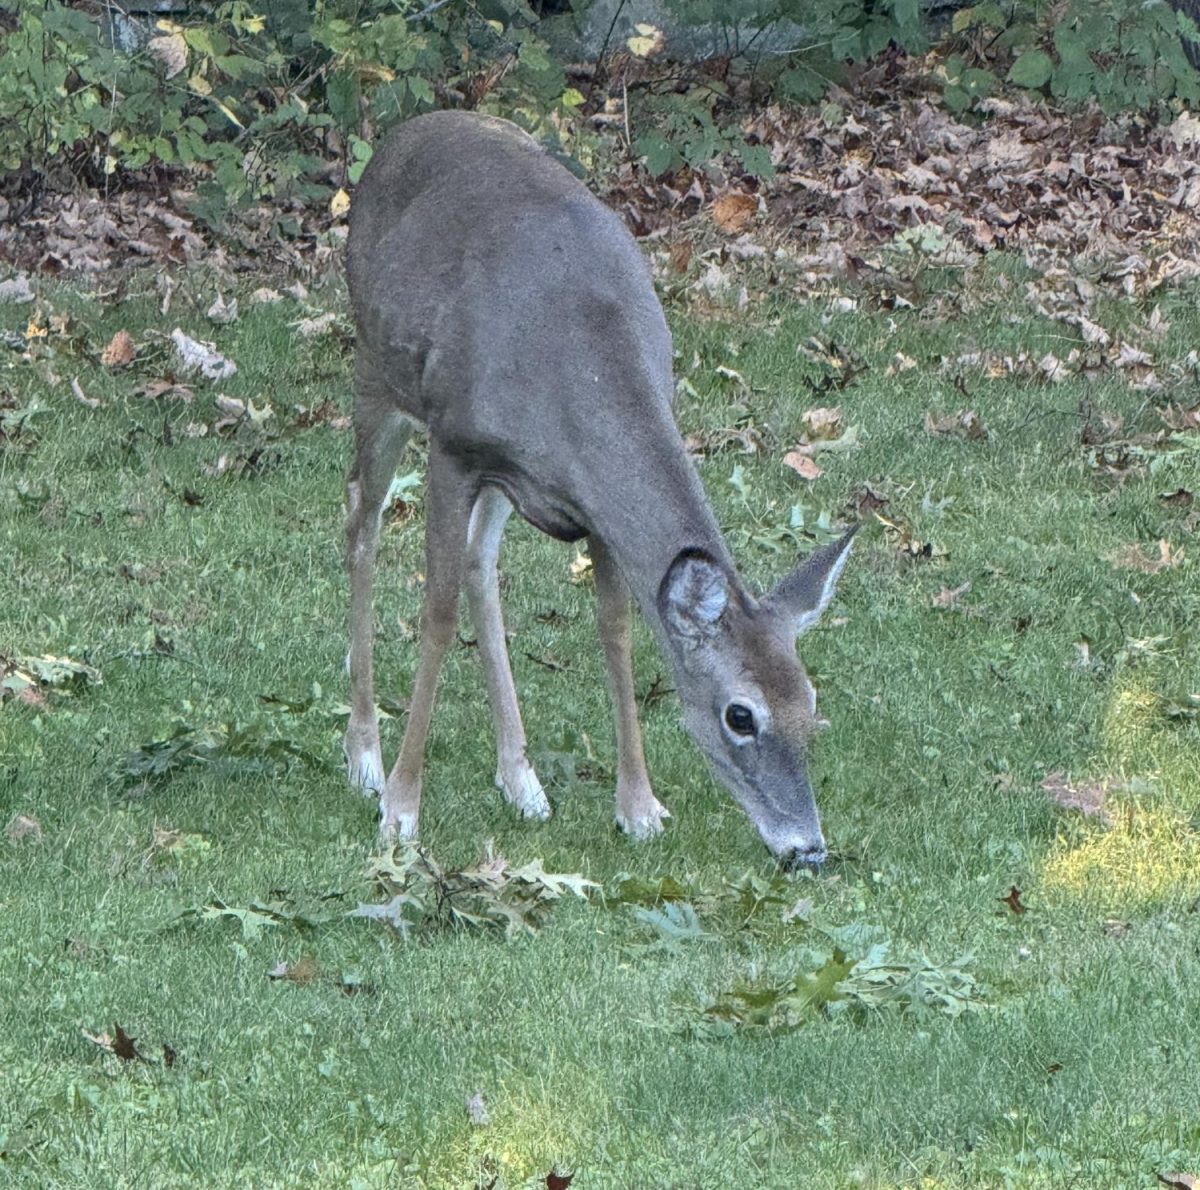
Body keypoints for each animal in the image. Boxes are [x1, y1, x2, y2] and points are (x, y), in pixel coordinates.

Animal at [343, 109, 859, 863]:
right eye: (740, 715)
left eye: (810, 702)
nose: (808, 846)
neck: (578, 363)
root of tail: (404, 131)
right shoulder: (455, 446)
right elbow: (434, 612)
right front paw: (402, 812)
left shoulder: (591, 508)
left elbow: (615, 628)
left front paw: (639, 806)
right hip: (377, 373)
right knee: (363, 521)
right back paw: (365, 759)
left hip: (498, 478)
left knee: (479, 562)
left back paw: (521, 780)